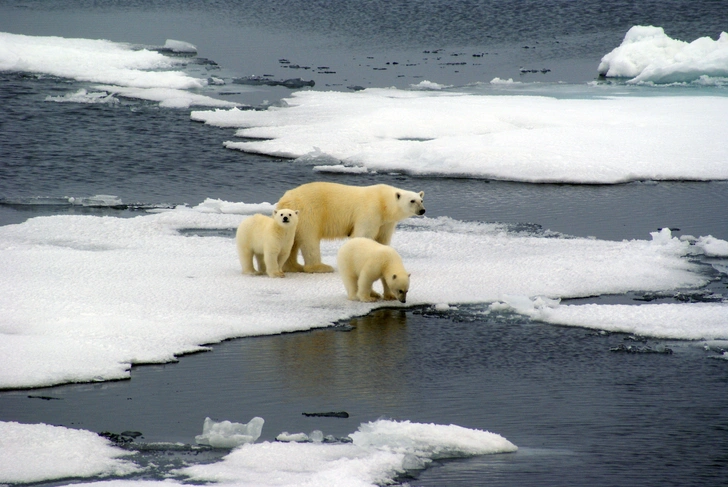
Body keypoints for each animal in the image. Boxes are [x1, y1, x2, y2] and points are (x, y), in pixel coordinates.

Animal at [278, 183, 426, 274]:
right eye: (412, 201)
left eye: (421, 200)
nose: (422, 210)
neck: (383, 201)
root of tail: (284, 200)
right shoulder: (370, 210)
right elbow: (363, 235)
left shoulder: (386, 222)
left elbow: (382, 239)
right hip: (308, 213)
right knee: (309, 240)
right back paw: (321, 267)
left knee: (292, 242)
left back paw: (293, 266)